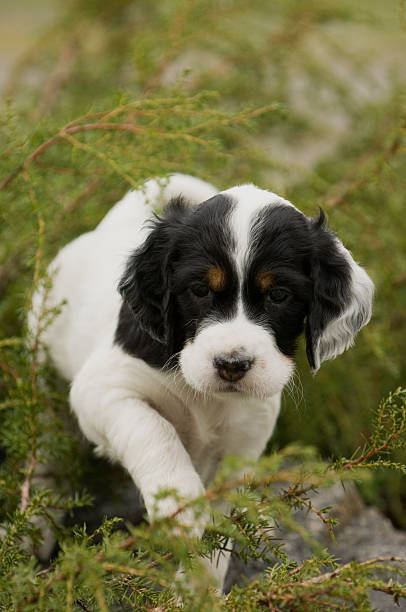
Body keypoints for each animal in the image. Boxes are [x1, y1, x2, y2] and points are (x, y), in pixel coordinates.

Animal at [30, 172, 374, 588]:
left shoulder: (240, 450)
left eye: (279, 295)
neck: (207, 397)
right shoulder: (104, 389)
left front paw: (199, 590)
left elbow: (218, 534)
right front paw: (178, 503)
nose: (232, 364)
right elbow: (153, 429)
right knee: (45, 459)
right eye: (199, 290)